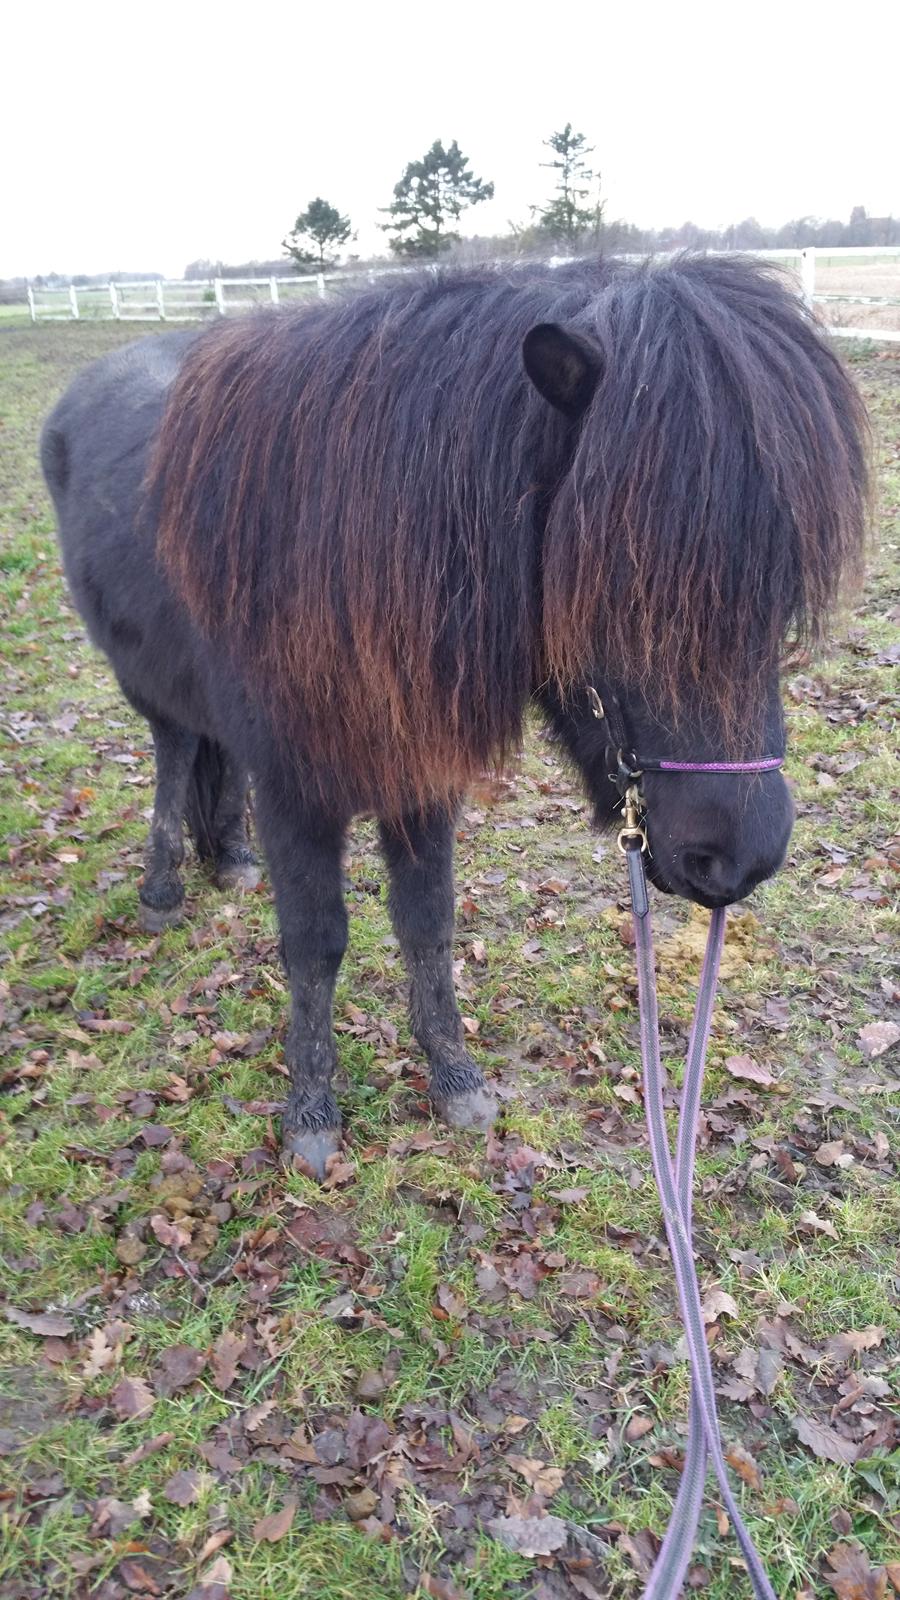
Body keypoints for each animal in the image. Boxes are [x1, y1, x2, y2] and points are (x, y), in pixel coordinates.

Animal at [38, 252, 864, 1177]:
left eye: (784, 589)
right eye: (615, 583)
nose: (744, 857)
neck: (339, 554)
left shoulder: (420, 775)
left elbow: (427, 925)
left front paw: (455, 1077)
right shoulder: (297, 792)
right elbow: (316, 943)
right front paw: (311, 1113)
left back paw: (232, 859)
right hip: (146, 686)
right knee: (176, 754)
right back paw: (163, 888)